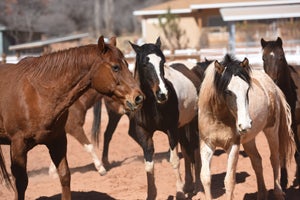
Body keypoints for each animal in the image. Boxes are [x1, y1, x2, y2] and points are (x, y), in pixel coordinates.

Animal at [0, 36, 144, 200]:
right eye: (115, 67)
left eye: (127, 64)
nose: (138, 97)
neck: (38, 93)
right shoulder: (18, 145)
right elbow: (21, 183)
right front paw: (101, 168)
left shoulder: (58, 140)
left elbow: (65, 175)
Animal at [92, 37, 202, 198]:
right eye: (144, 63)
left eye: (162, 61)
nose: (162, 94)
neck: (152, 105)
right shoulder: (144, 132)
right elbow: (149, 165)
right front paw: (151, 194)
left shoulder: (171, 131)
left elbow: (174, 160)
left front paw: (180, 193)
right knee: (187, 149)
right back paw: (188, 185)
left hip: (192, 122)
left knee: (195, 148)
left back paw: (198, 185)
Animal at [198, 54, 294, 200]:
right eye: (227, 91)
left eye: (247, 89)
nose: (245, 124)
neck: (219, 118)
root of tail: (272, 85)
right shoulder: (207, 145)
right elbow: (205, 178)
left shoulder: (233, 145)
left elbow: (229, 181)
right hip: (249, 140)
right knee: (257, 161)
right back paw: (261, 194)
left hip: (271, 131)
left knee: (274, 159)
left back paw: (278, 193)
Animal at [260, 36, 300, 190]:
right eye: (263, 58)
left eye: (281, 57)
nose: (273, 82)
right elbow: (281, 152)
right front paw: (283, 180)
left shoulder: (293, 126)